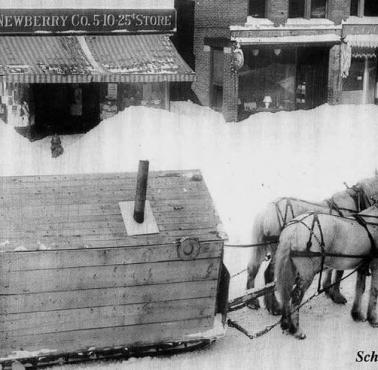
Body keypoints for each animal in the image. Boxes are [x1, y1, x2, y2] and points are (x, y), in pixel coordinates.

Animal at [245, 179, 376, 316]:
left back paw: (252, 301)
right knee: (269, 274)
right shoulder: (345, 248)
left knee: (253, 269)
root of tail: (265, 213)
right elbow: (338, 273)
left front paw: (328, 289)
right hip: (278, 251)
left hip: (262, 247)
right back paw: (274, 306)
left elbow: (329, 269)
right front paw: (336, 295)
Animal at [274, 207, 378, 340]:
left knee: (286, 293)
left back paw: (286, 323)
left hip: (291, 269)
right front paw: (373, 319)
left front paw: (357, 314)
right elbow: (374, 290)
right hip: (307, 273)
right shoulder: (375, 264)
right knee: (296, 296)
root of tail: (293, 230)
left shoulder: (363, 265)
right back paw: (296, 330)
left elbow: (360, 288)